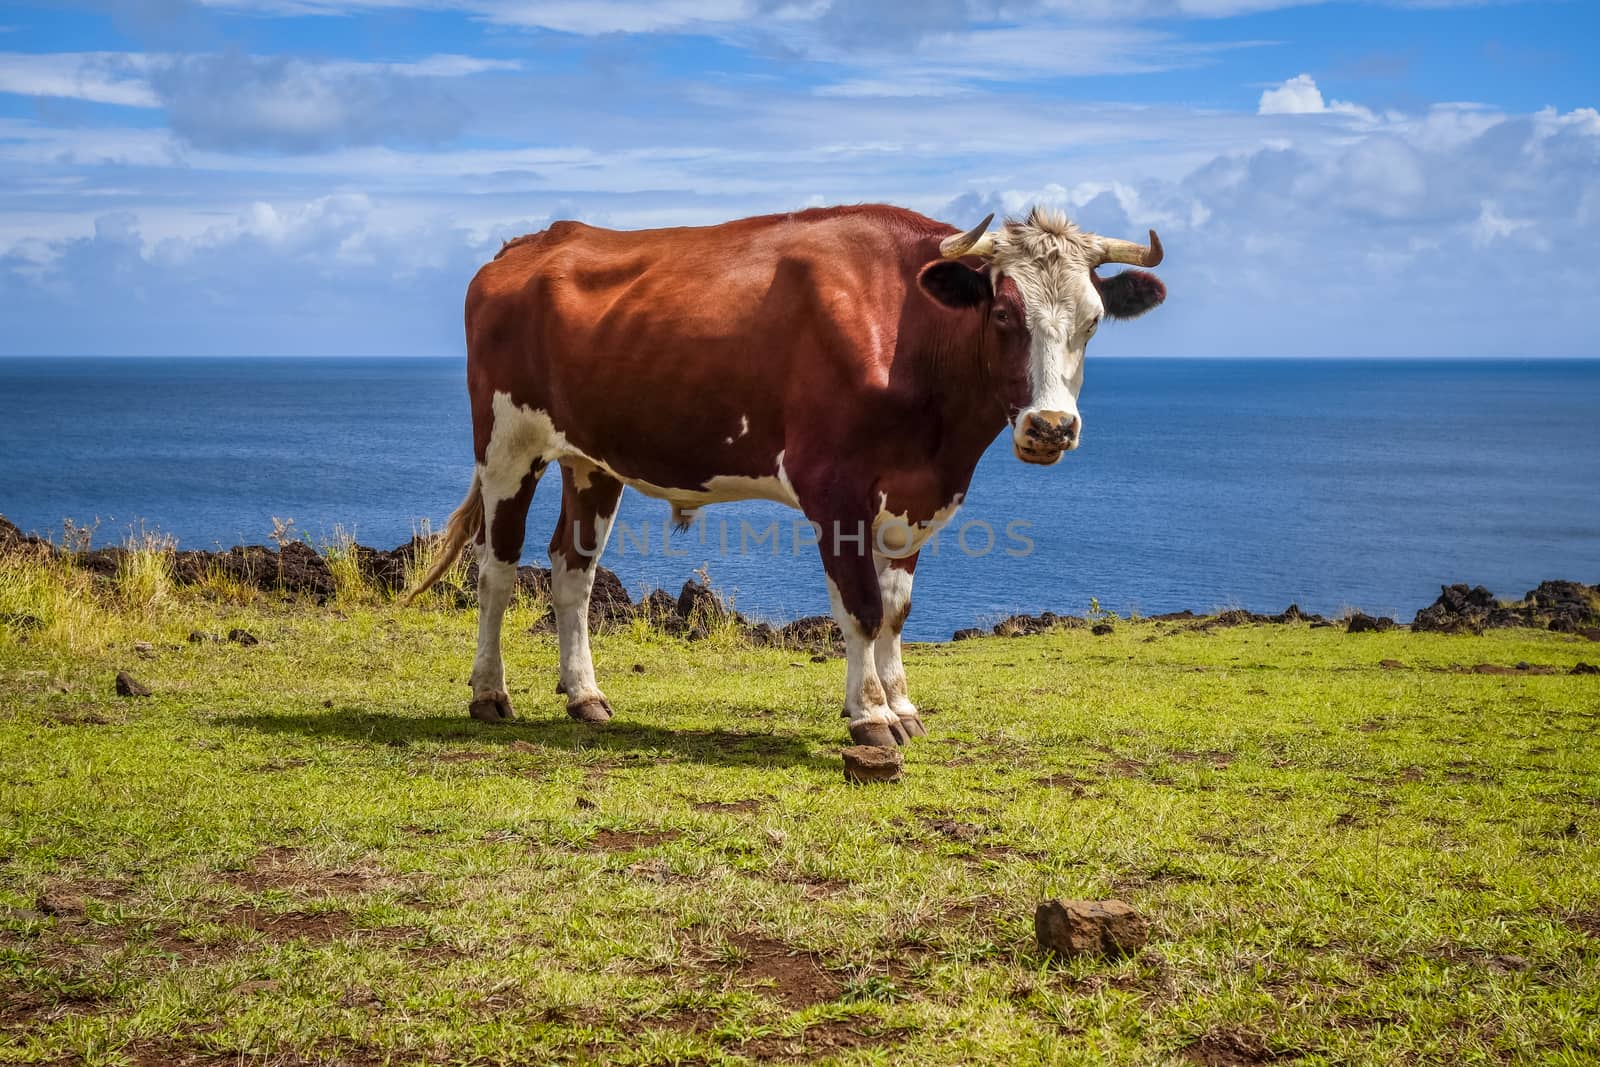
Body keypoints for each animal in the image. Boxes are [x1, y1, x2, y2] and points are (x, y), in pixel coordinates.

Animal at [406, 204, 1171, 748]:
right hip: (507, 443)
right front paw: (870, 717)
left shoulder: (917, 495)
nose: (1052, 427)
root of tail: (526, 245)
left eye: (1093, 320)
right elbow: (860, 605)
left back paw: (586, 695)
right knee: (498, 569)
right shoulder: (834, 485)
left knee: (572, 573)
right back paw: (489, 693)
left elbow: (896, 607)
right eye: (1006, 313)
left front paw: (902, 704)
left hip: (591, 459)